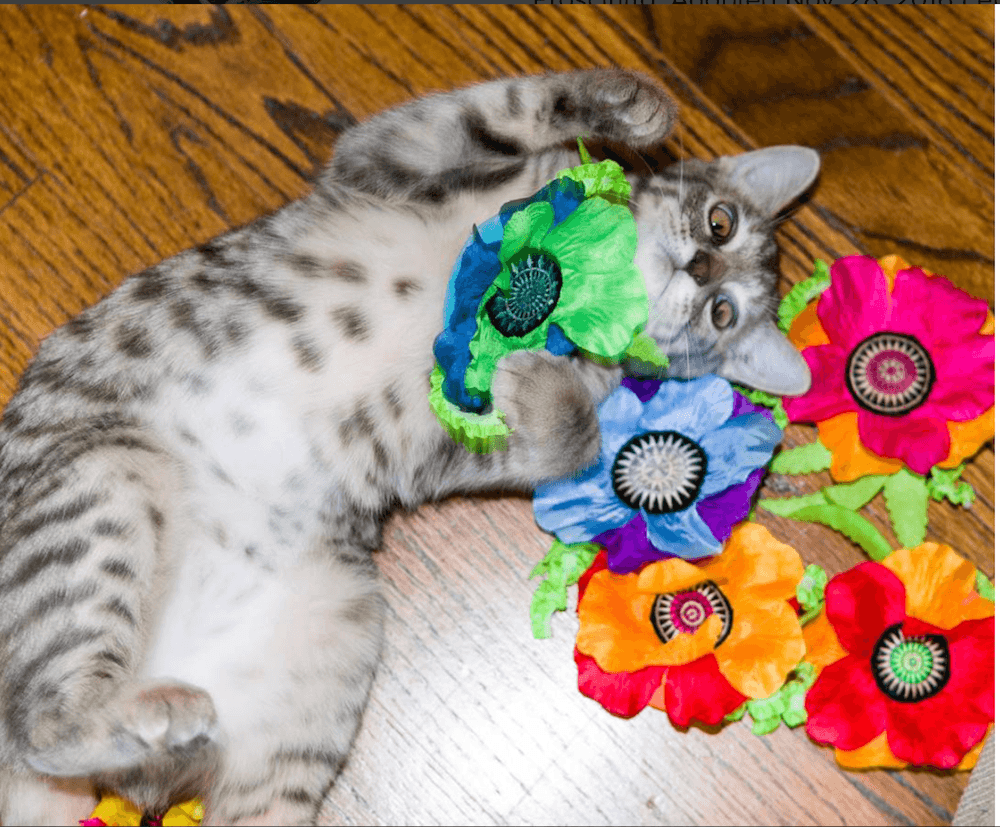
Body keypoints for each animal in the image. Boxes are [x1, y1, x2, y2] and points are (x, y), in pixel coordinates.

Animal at [0, 68, 816, 824]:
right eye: (720, 222)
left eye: (722, 312)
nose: (703, 267)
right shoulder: (389, 157)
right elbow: (508, 105)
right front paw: (627, 102)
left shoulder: (482, 446)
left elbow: (572, 435)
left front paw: (534, 375)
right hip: (105, 480)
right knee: (41, 718)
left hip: (336, 639)